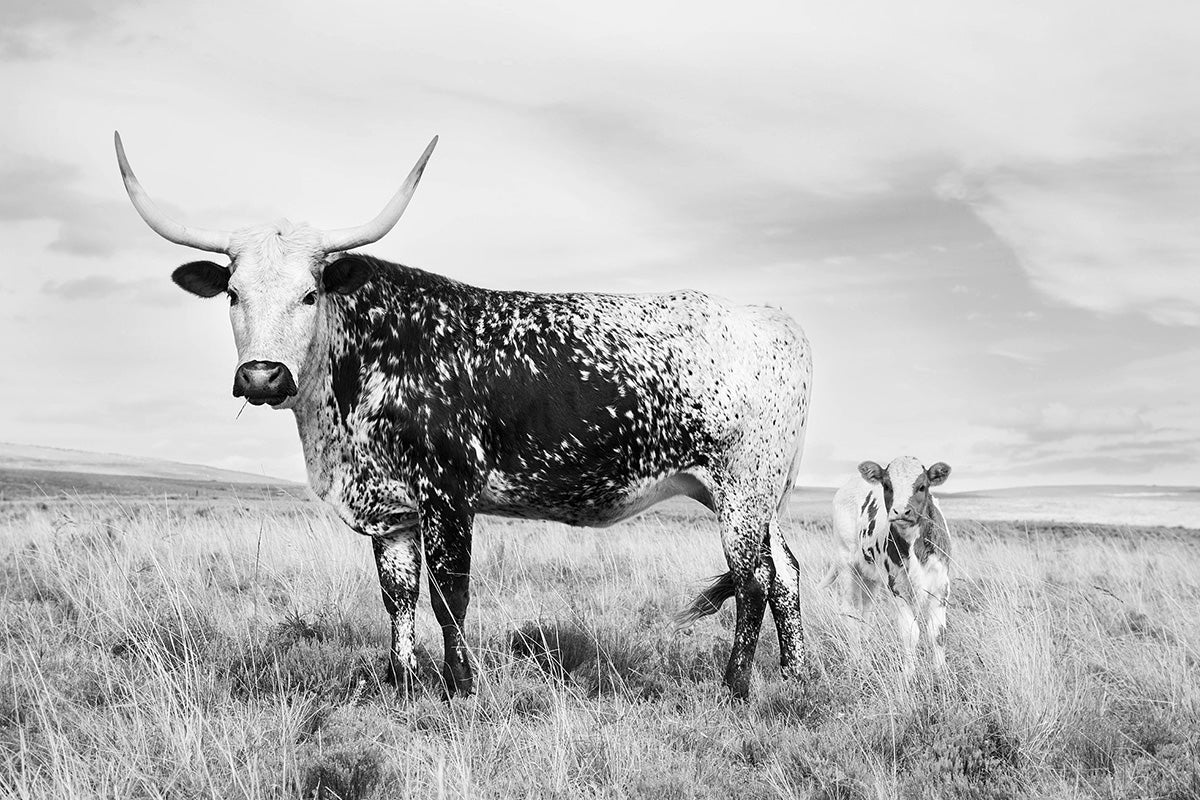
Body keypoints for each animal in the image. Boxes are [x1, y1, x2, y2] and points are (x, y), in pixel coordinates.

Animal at [113, 132, 813, 699]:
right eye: (233, 293)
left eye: (310, 294)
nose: (262, 376)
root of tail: (769, 317)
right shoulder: (391, 507)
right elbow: (399, 595)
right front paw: (401, 683)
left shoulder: (448, 491)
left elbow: (451, 592)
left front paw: (460, 686)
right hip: (750, 496)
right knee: (785, 573)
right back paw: (797, 678)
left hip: (742, 491)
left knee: (753, 580)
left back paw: (737, 686)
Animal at [818, 457, 953, 668]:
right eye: (887, 486)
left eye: (922, 486)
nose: (901, 512)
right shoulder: (897, 587)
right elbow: (909, 634)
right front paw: (909, 674)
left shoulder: (941, 586)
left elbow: (938, 634)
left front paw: (941, 673)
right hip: (845, 561)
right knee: (851, 610)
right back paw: (857, 659)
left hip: (870, 574)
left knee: (866, 609)